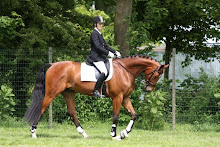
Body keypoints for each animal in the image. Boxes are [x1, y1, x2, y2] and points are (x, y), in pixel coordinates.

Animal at [23, 54, 168, 140]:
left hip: (69, 93)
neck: (125, 70)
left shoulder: (125, 98)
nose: (148, 89)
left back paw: (84, 134)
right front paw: (114, 135)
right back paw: (33, 133)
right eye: (156, 75)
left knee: (72, 112)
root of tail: (53, 64)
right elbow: (116, 116)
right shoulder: (117, 97)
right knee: (42, 108)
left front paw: (124, 133)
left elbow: (134, 115)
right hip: (52, 93)